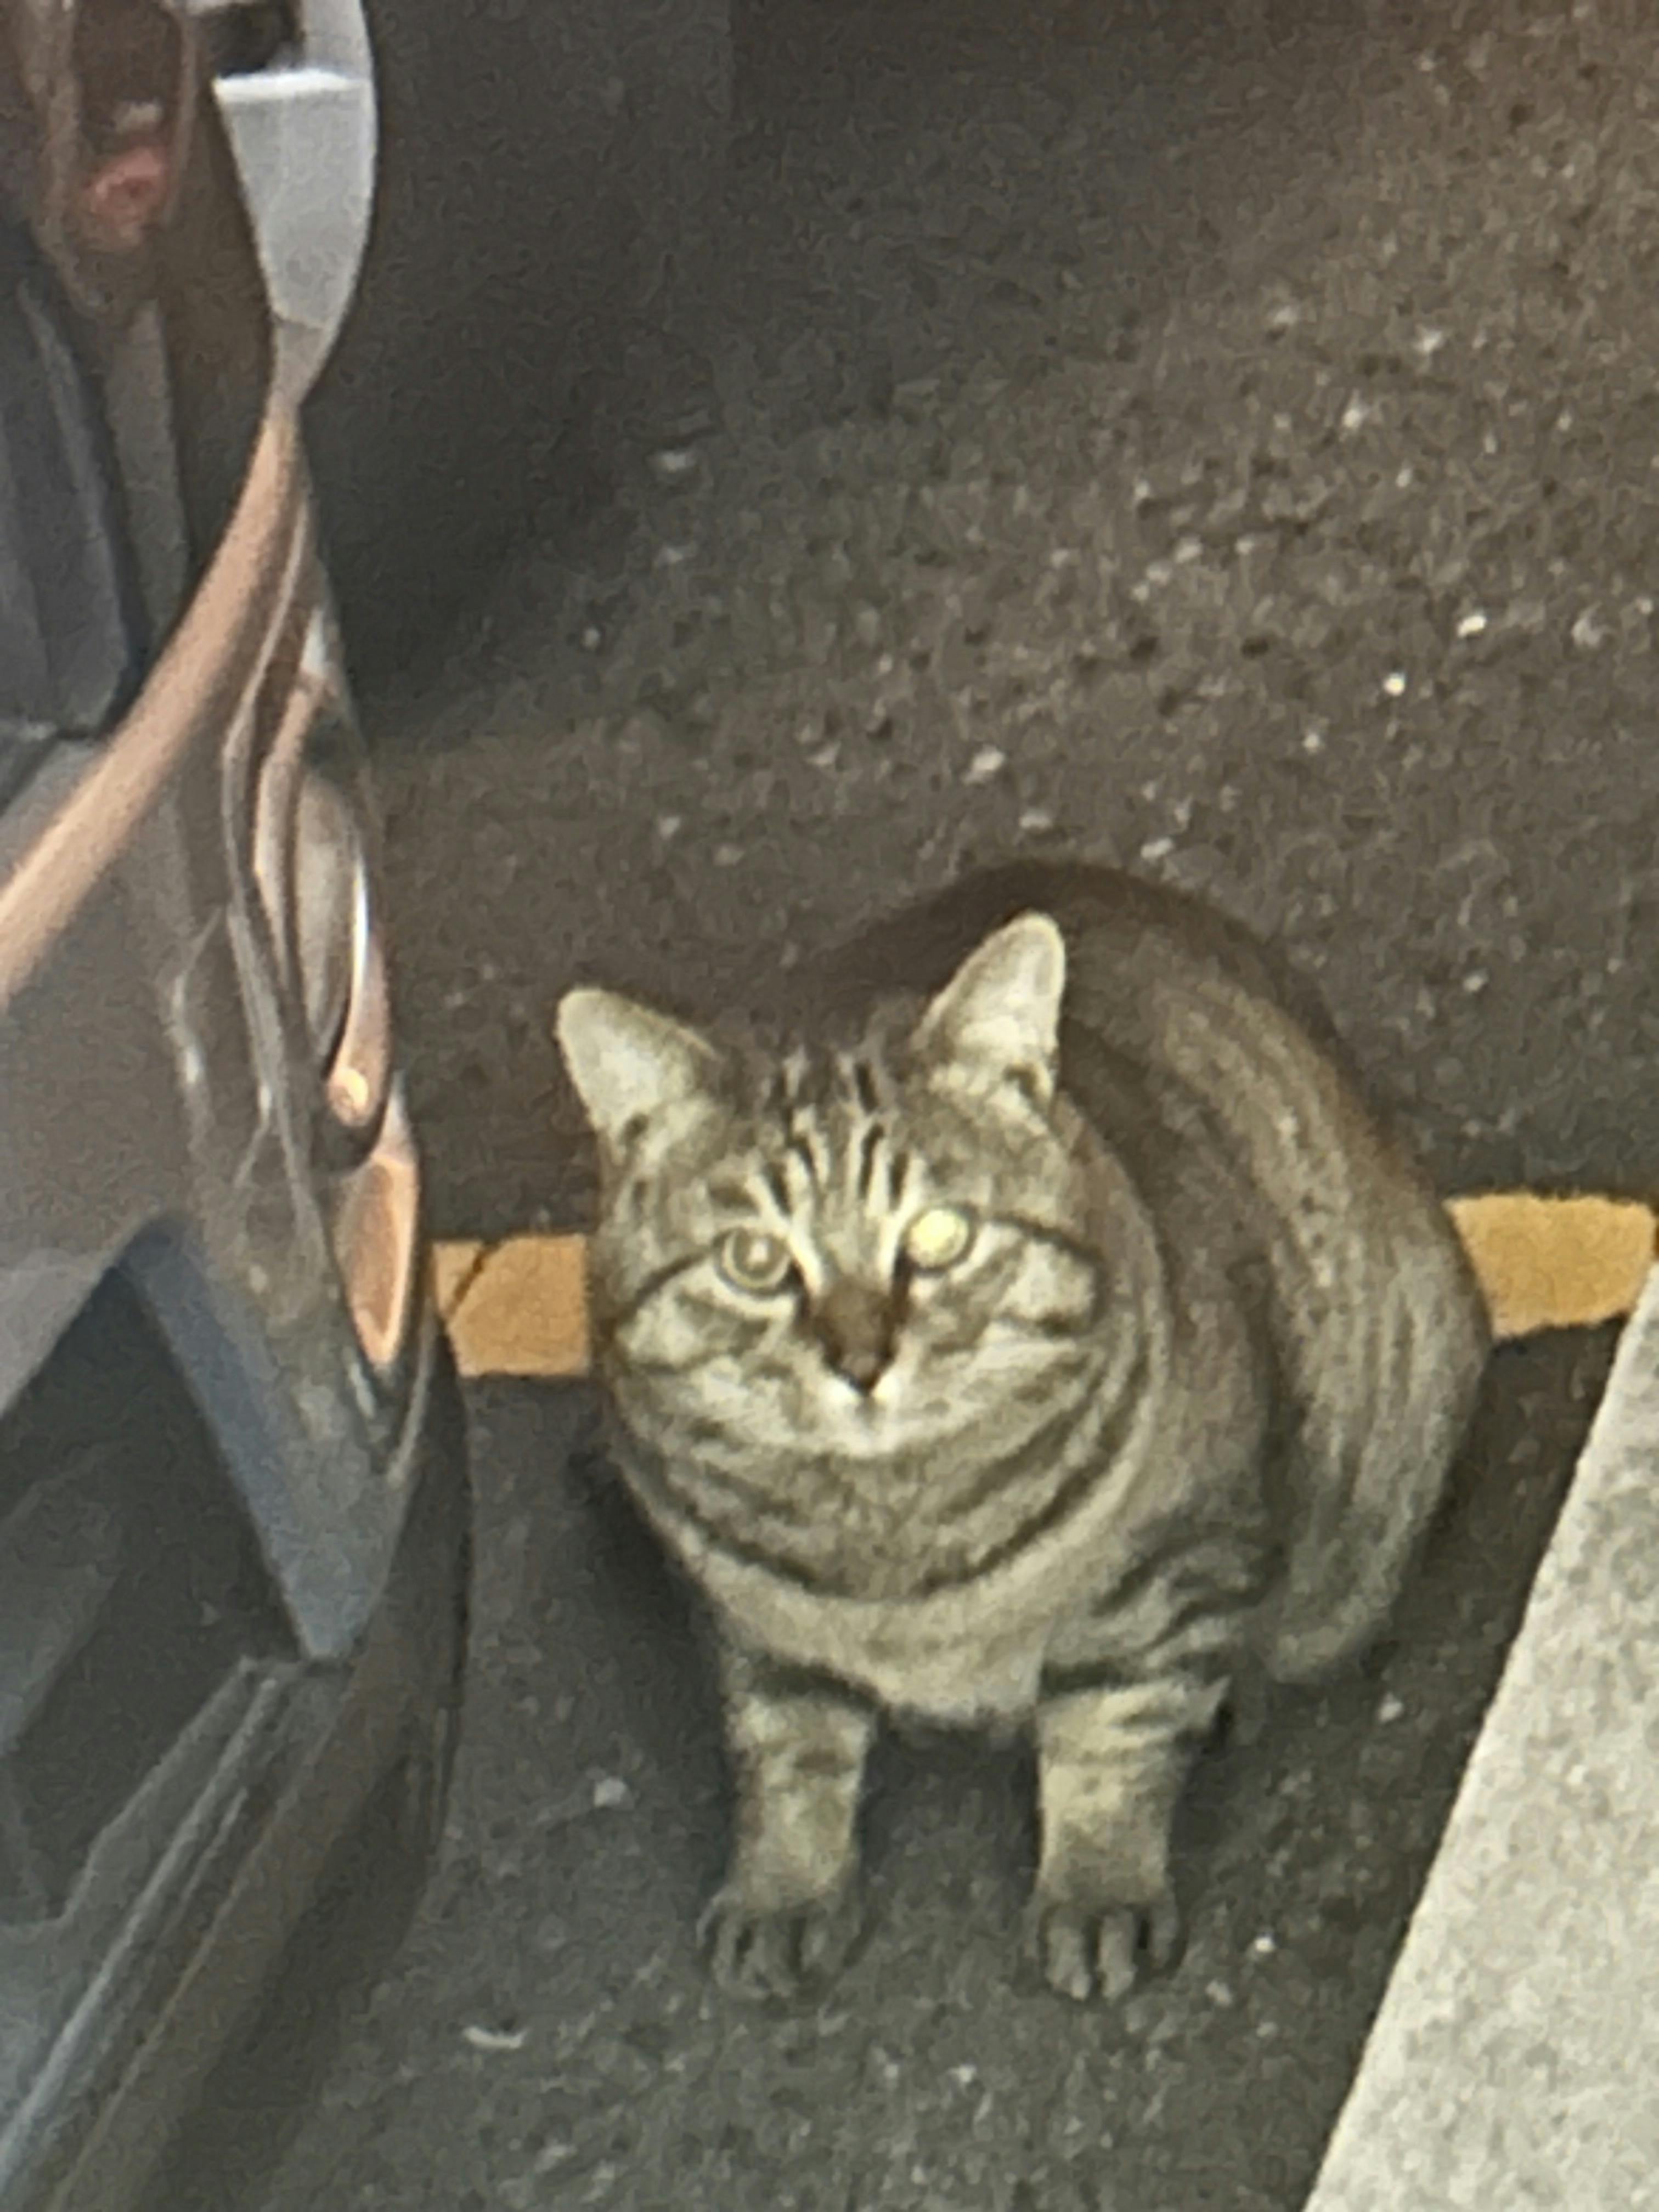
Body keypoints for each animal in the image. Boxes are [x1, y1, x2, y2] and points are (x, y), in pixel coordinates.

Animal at [555, 860, 1490, 2004]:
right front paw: (784, 1886)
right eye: (754, 1260)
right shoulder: (747, 1620)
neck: (890, 1553)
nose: (859, 1361)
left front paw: (1096, 1886)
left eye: (936, 1235)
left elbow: (1110, 1732)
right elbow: (783, 1743)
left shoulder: (1164, 1571)